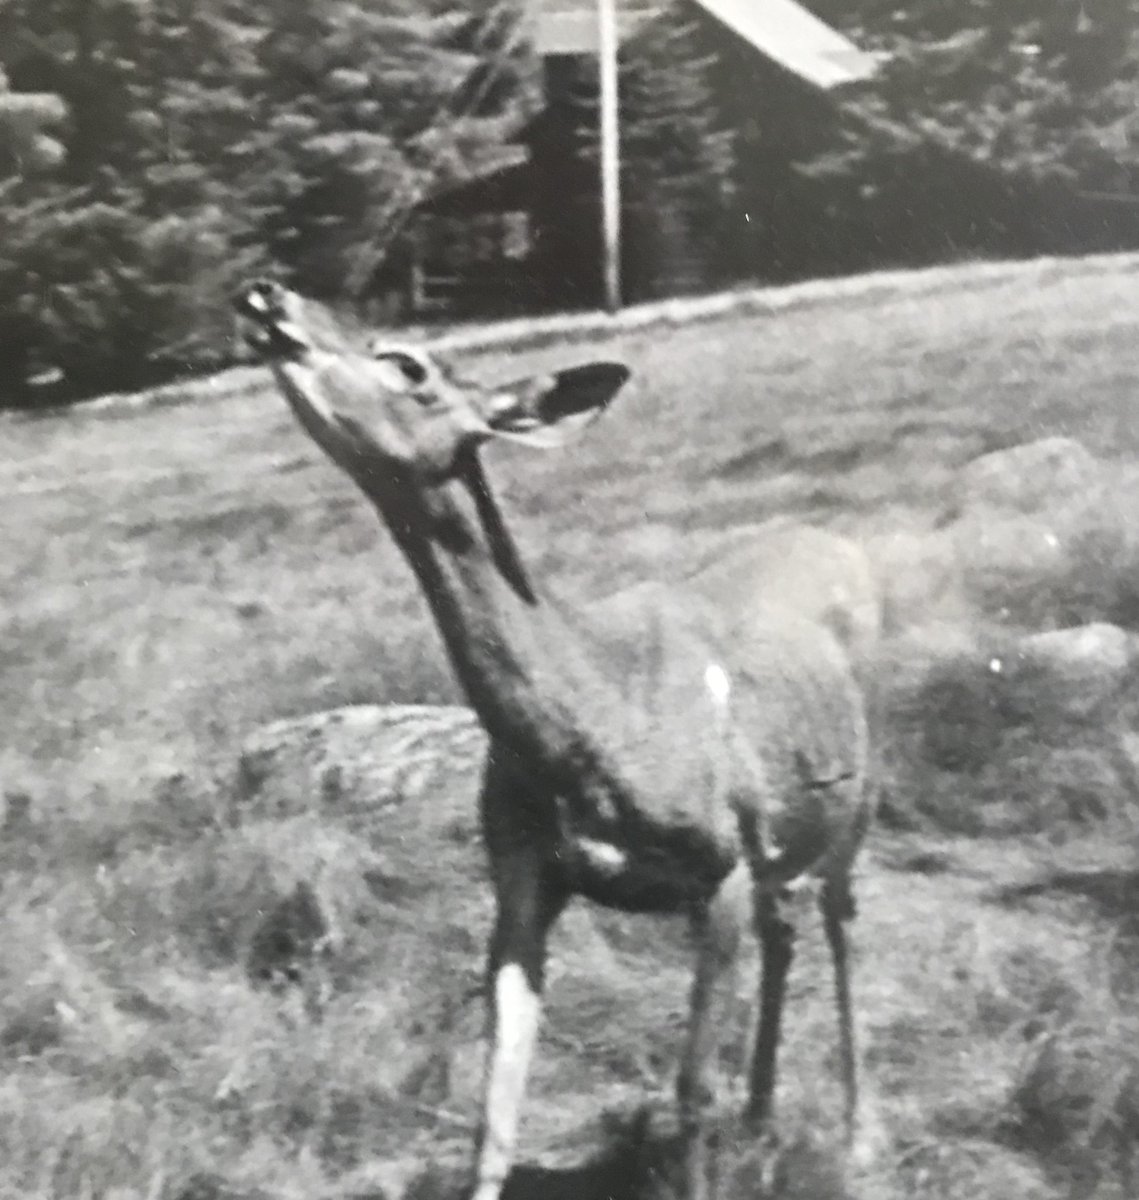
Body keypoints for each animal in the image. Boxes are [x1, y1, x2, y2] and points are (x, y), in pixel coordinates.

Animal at [234, 281, 874, 1200]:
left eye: (407, 363)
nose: (268, 294)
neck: (593, 721)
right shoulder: (521, 871)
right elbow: (496, 1098)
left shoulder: (717, 866)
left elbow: (691, 1088)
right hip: (779, 835)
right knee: (785, 932)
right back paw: (762, 1119)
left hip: (855, 801)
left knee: (840, 926)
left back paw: (856, 1141)